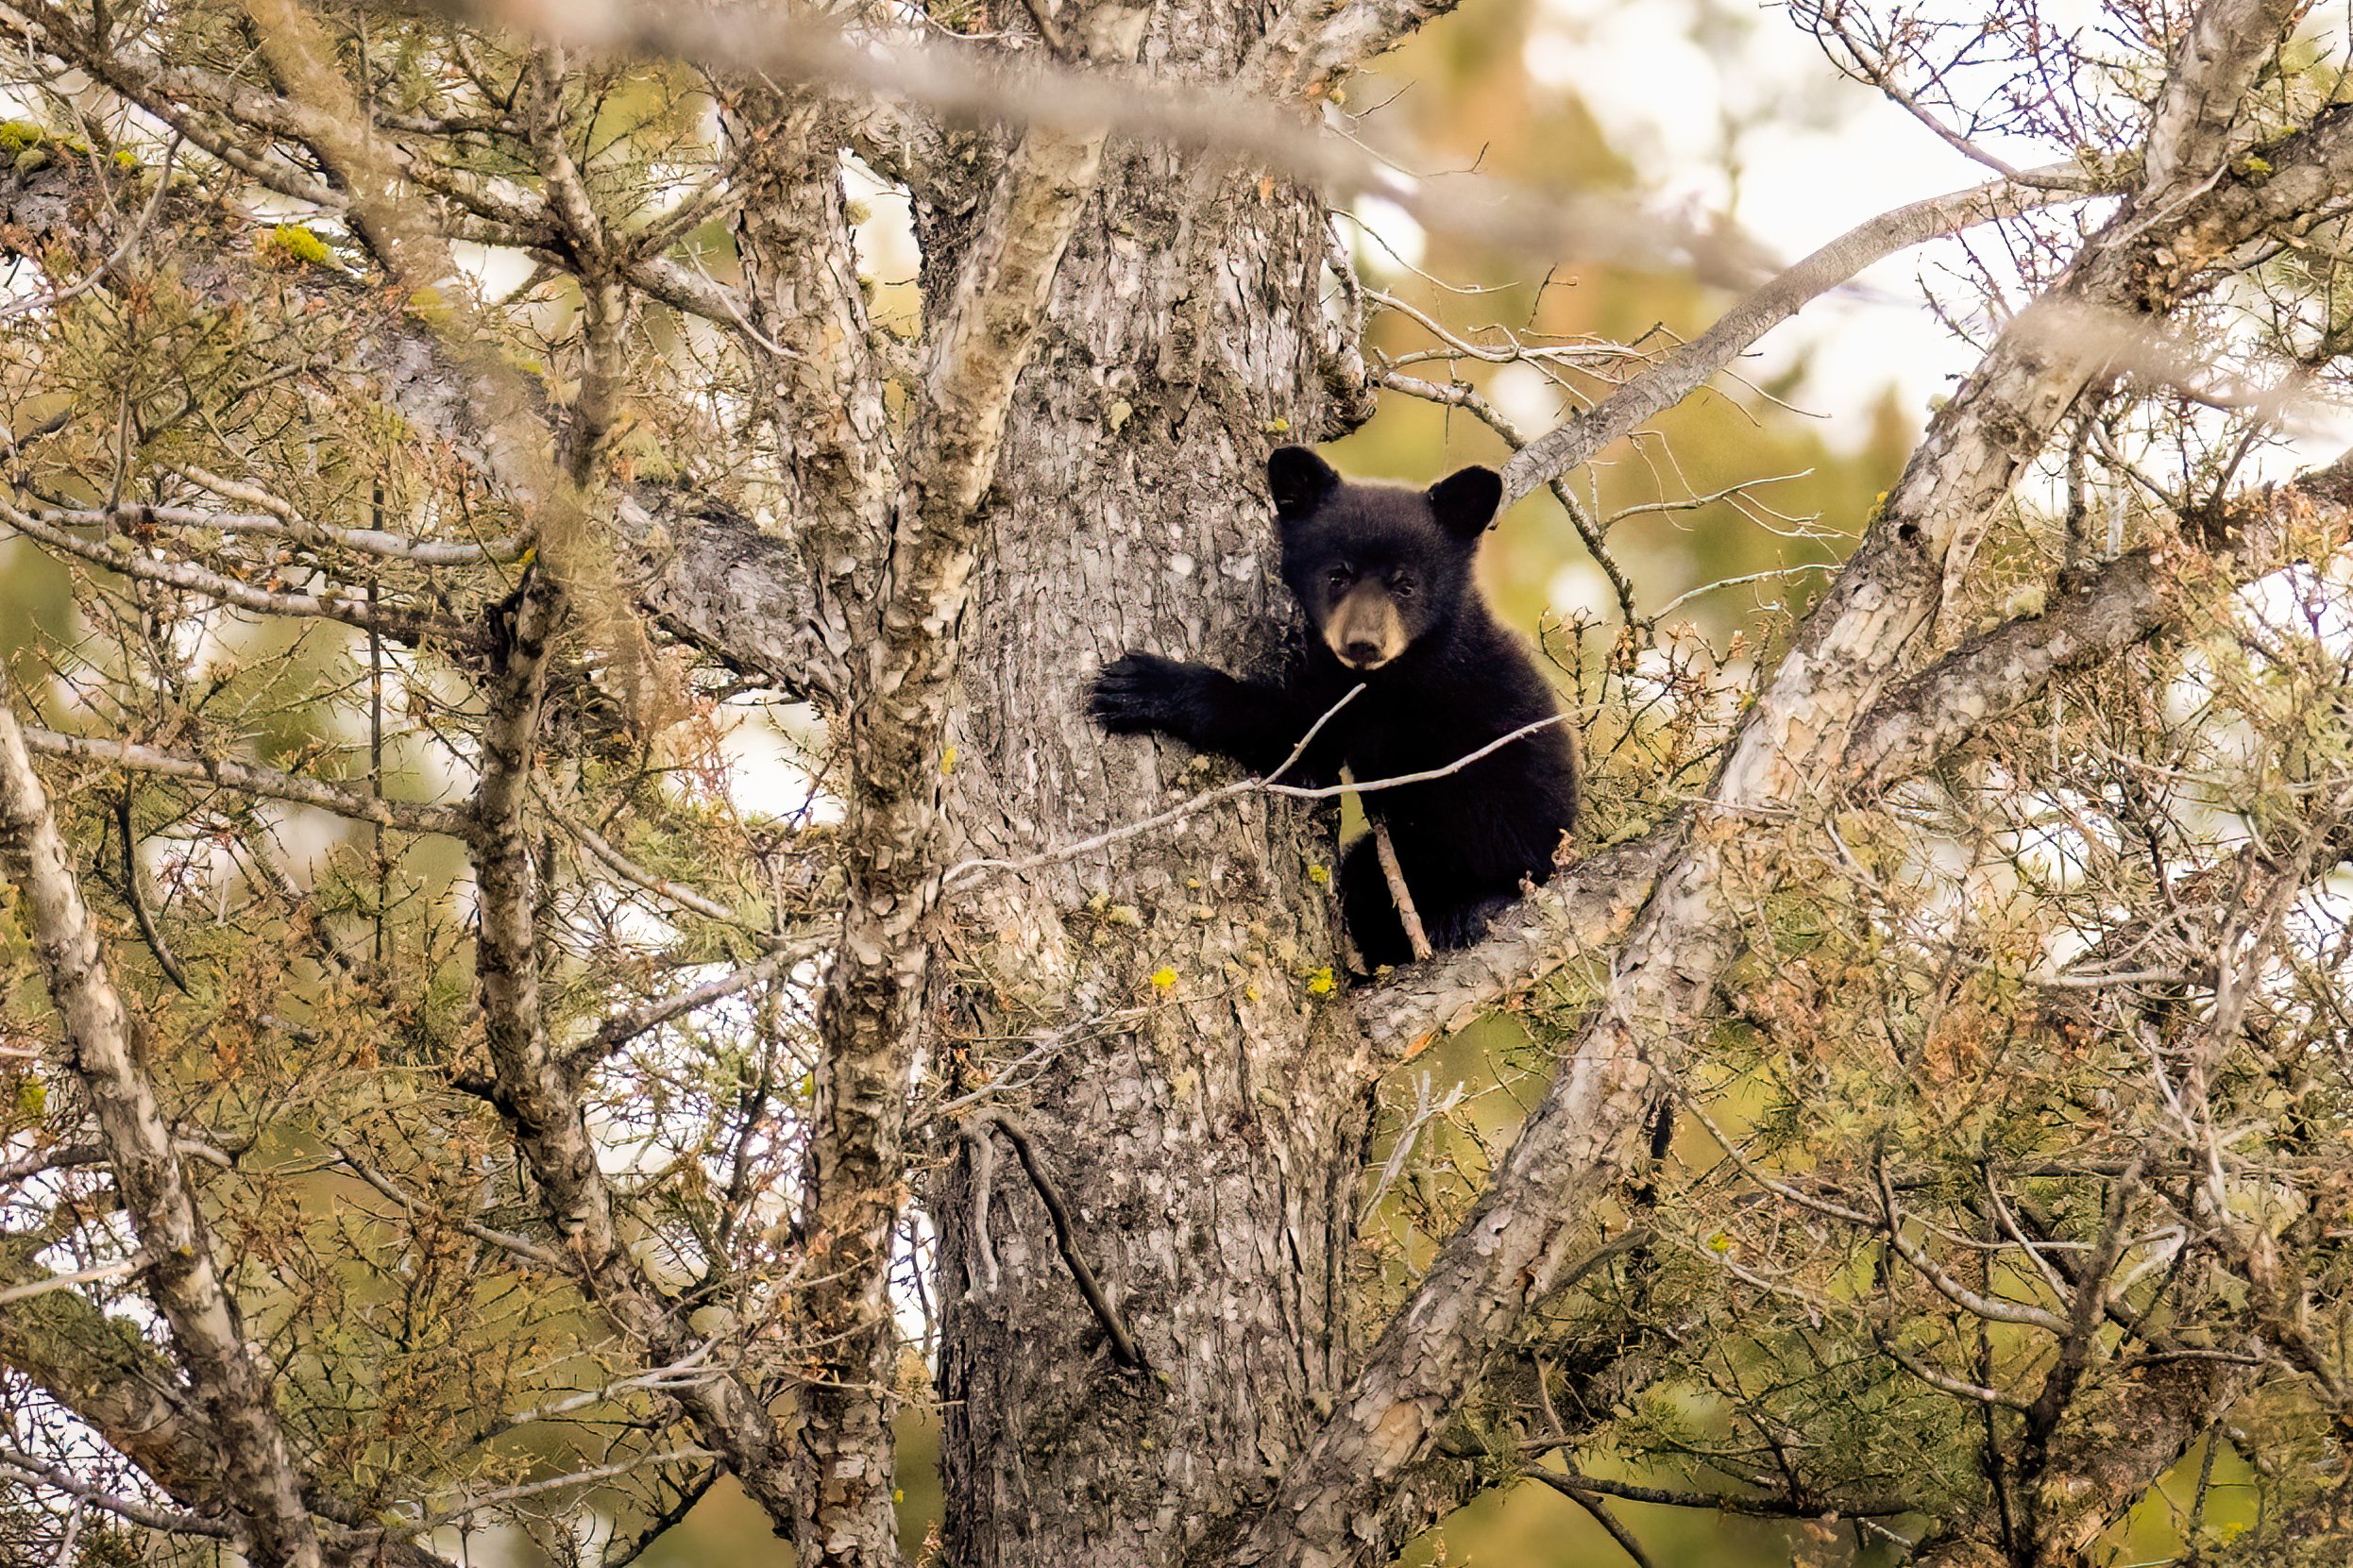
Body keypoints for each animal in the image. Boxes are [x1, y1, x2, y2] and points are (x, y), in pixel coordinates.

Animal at [1088, 445, 1580, 968]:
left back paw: (1471, 912)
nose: (1363, 643)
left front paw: (1144, 684)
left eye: (1406, 584)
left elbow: (1301, 740)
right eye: (1337, 574)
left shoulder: (1393, 700)